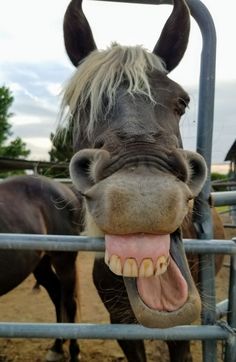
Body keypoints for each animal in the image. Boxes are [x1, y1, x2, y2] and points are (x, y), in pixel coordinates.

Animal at [0, 175, 83, 362]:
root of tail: (64, 188)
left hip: (64, 260)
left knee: (70, 302)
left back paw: (73, 352)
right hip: (41, 264)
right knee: (56, 293)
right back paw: (57, 347)